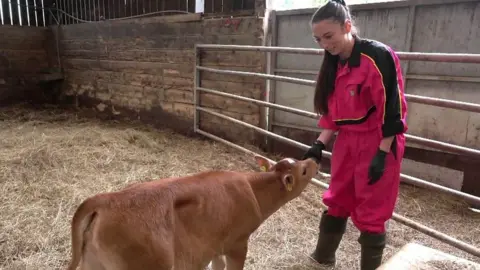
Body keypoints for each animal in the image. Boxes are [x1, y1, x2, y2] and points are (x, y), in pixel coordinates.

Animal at [63, 155, 318, 270]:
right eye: (304, 171)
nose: (315, 160)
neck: (253, 189)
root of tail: (107, 198)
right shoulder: (238, 243)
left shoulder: (215, 244)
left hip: (93, 262)